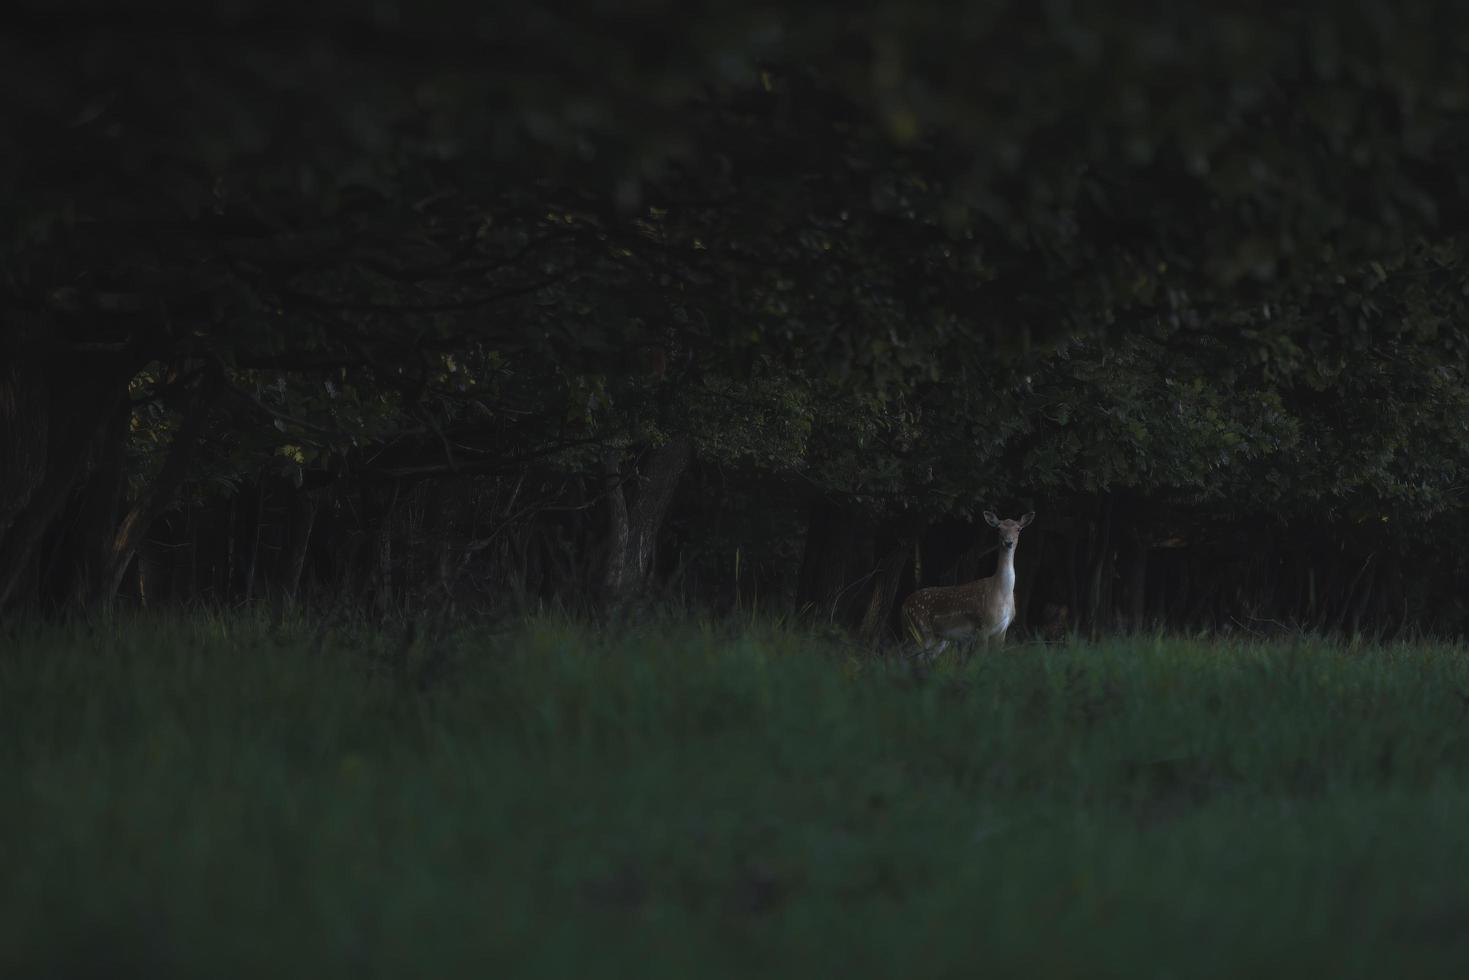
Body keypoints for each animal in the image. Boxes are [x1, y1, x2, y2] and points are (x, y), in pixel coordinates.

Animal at [899, 514, 1040, 658]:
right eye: (998, 529)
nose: (1008, 542)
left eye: (1018, 529)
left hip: (937, 639)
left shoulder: (1002, 630)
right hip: (918, 630)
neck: (1001, 593)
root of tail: (903, 606)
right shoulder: (982, 626)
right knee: (900, 654)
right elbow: (980, 658)